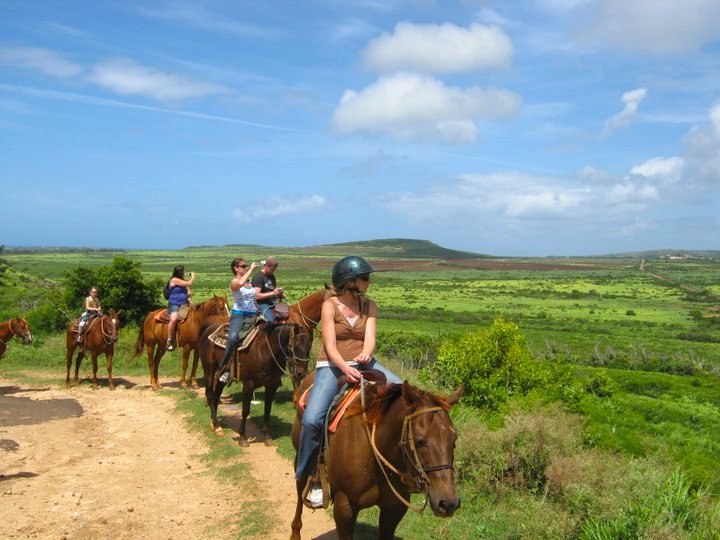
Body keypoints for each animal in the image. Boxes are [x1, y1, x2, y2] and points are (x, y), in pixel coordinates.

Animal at [195, 292, 322, 448]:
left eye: (309, 346)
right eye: (295, 345)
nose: (301, 372)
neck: (265, 349)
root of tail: (208, 328)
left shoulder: (272, 385)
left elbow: (267, 408)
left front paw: (267, 435)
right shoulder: (249, 384)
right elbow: (245, 410)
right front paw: (242, 437)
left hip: (221, 375)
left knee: (217, 394)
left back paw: (214, 423)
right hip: (209, 370)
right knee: (210, 394)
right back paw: (218, 427)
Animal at [292, 378, 464, 536]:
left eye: (454, 439)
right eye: (419, 440)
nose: (448, 503)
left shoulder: (394, 509)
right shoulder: (344, 507)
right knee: (300, 492)